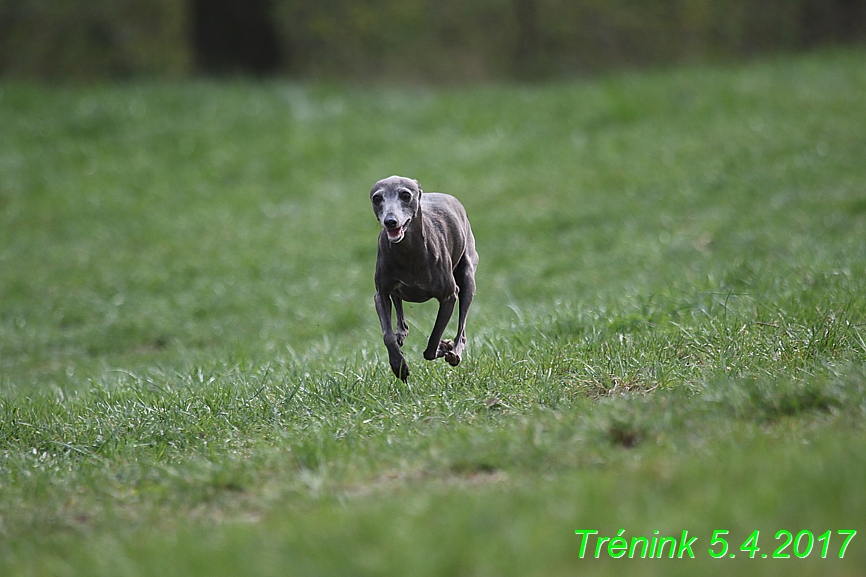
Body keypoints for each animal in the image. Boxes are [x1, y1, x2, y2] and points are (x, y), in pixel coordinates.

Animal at [370, 176, 480, 382]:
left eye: (405, 195)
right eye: (377, 198)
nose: (390, 222)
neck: (409, 253)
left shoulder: (449, 296)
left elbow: (433, 341)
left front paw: (444, 347)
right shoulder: (380, 294)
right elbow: (387, 335)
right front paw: (399, 366)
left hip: (468, 275)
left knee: (462, 328)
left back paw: (455, 352)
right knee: (399, 310)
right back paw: (401, 333)